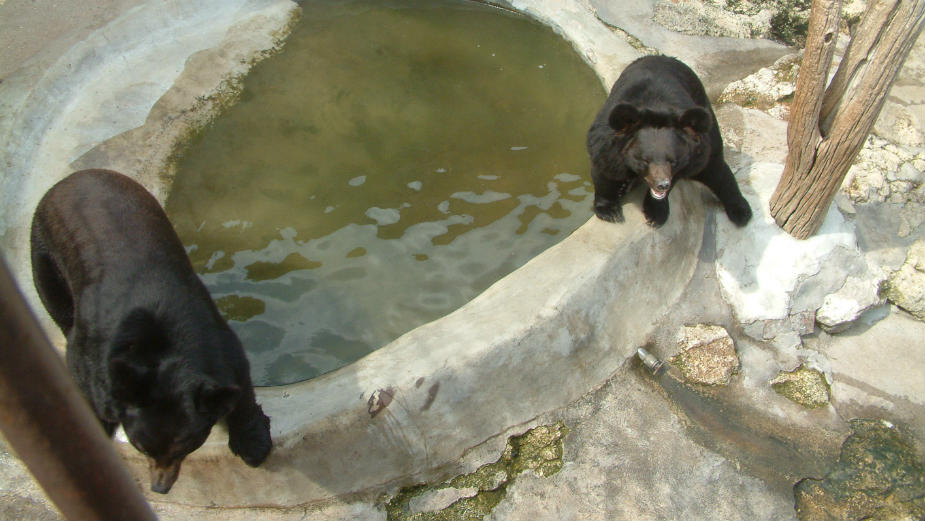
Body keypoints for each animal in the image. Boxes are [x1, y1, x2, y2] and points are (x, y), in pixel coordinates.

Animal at [29, 170, 274, 492]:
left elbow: (239, 380)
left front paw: (253, 445)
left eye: (186, 446)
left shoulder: (215, 336)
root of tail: (75, 177)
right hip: (45, 260)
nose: (160, 486)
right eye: (141, 446)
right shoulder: (91, 356)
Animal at [588, 55, 756, 228]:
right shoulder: (606, 144)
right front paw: (610, 211)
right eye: (644, 160)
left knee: (715, 168)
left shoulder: (689, 158)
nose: (662, 184)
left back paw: (741, 211)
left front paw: (655, 213)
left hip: (704, 123)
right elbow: (604, 172)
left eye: (673, 161)